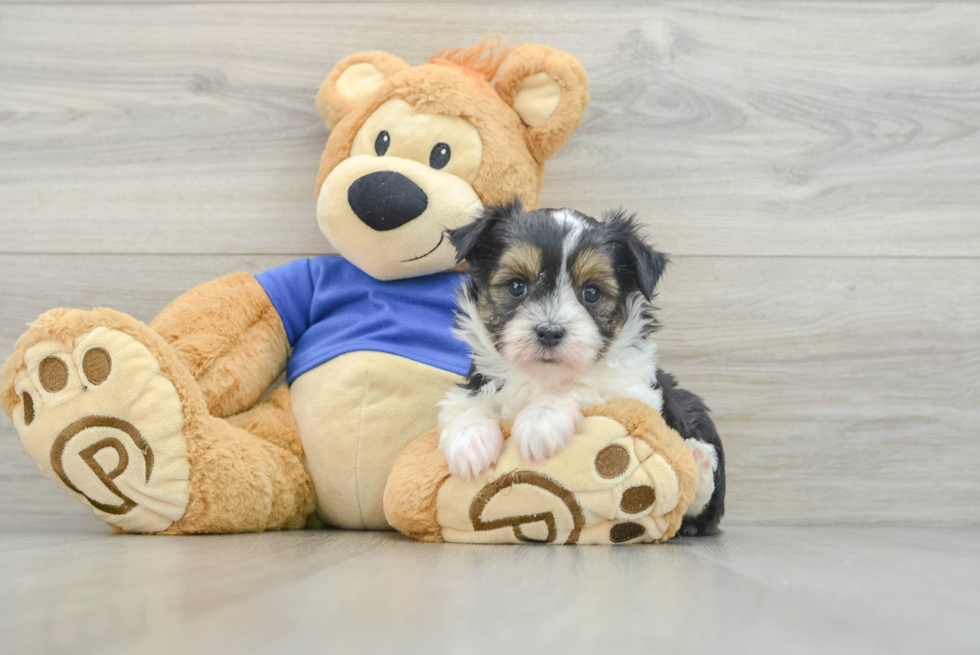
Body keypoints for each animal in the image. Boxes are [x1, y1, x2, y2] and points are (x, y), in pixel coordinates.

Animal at [440, 202, 724, 536]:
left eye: (591, 292)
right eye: (516, 286)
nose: (550, 331)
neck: (542, 376)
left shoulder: (634, 390)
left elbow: (585, 387)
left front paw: (541, 420)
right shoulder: (478, 380)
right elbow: (468, 403)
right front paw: (469, 443)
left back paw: (699, 460)